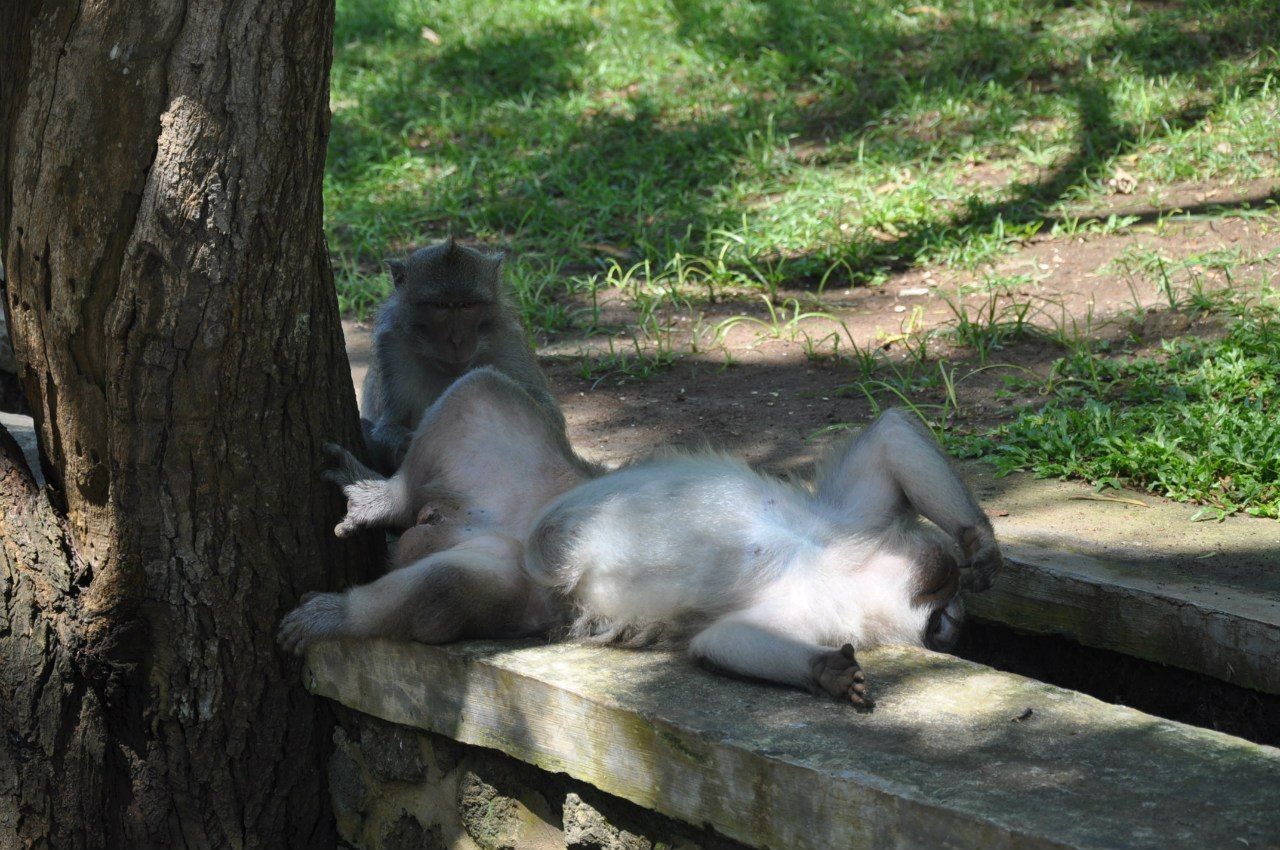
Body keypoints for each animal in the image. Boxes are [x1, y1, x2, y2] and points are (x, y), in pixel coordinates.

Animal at [280, 368, 1002, 708]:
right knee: (480, 396)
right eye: (945, 615)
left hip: (510, 578)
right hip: (540, 480)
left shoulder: (821, 600)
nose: (952, 620)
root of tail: (449, 520)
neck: (836, 562)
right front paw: (980, 543)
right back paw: (389, 498)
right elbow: (891, 435)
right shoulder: (847, 523)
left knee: (444, 587)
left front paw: (825, 672)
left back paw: (356, 598)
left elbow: (722, 641)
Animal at [360, 236, 564, 472]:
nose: (457, 340)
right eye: (439, 306)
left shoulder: (509, 337)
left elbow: (551, 417)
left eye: (468, 305)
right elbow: (390, 422)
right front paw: (402, 444)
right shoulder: (391, 344)